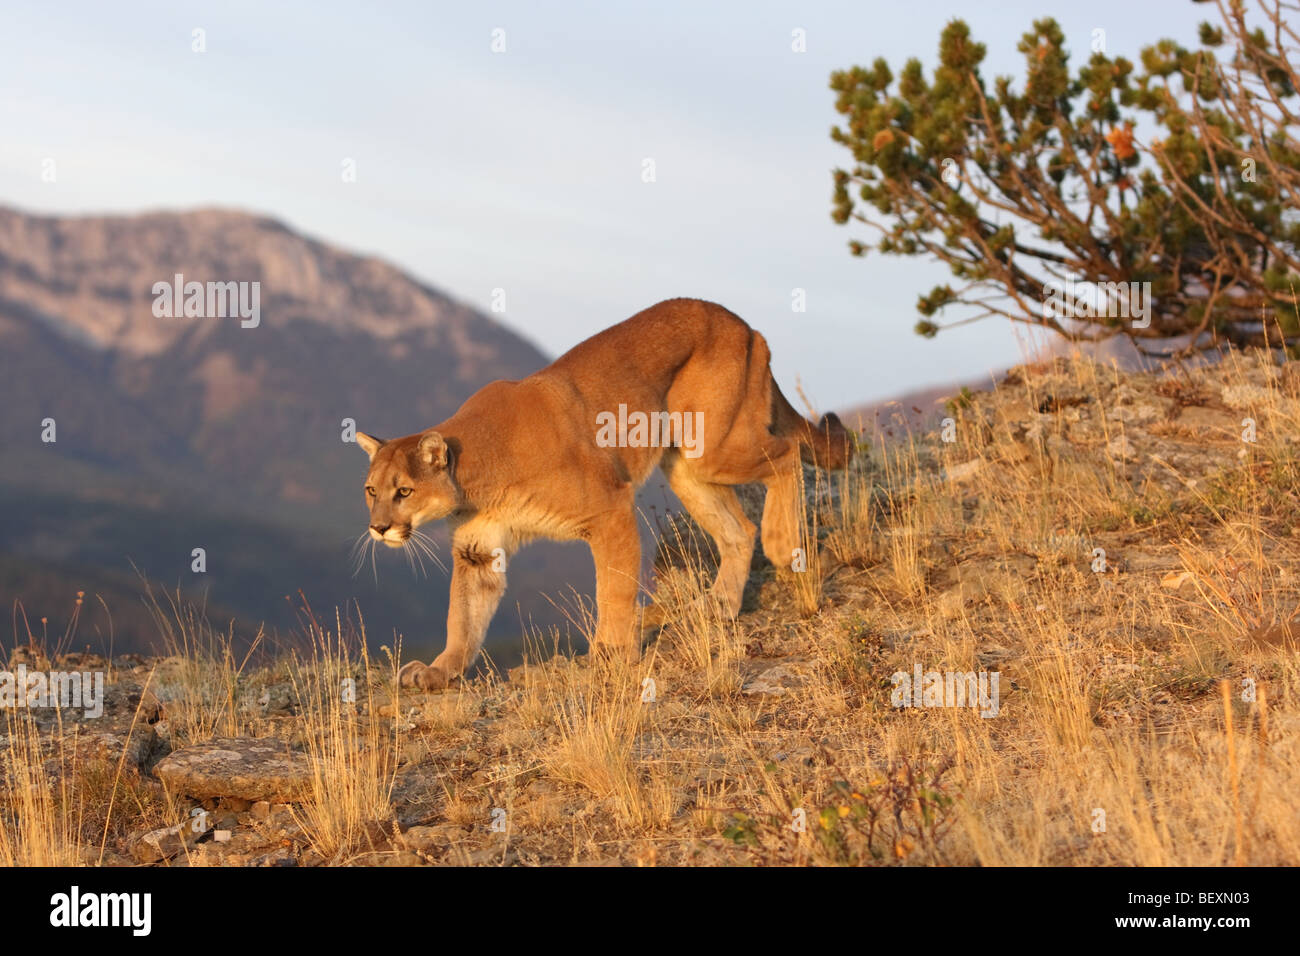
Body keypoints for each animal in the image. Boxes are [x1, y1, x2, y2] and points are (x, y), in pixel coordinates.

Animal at [354, 298, 854, 690]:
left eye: (404, 491)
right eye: (371, 490)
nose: (378, 528)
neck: (476, 476)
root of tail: (745, 325)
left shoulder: (610, 509)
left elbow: (613, 588)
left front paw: (611, 653)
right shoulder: (477, 551)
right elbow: (462, 617)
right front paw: (439, 670)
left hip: (713, 446)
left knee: (786, 454)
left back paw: (782, 545)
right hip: (686, 466)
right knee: (738, 528)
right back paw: (719, 606)